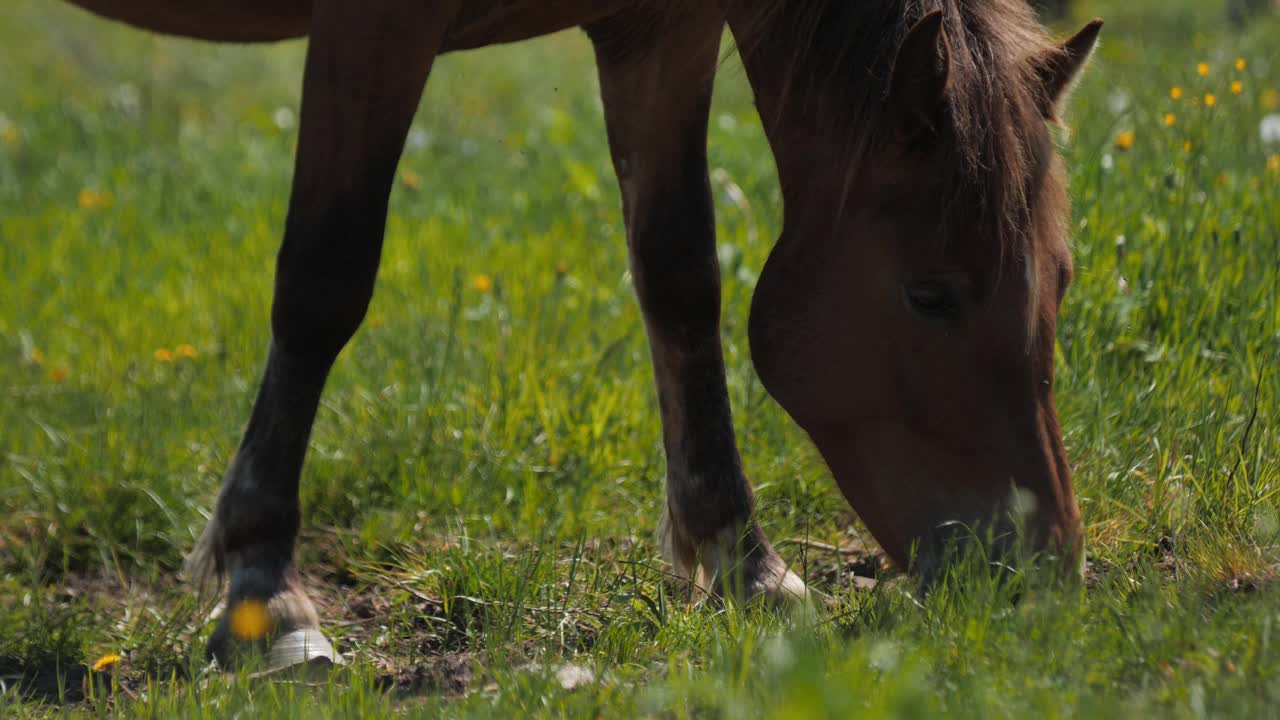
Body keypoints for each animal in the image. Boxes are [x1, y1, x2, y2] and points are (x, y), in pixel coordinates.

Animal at [60, 0, 1100, 666]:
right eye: (930, 294)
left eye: (1061, 277)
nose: (1042, 570)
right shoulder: (372, 29)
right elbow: (324, 283)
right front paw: (265, 591)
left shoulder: (660, 33)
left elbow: (680, 276)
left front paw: (743, 558)